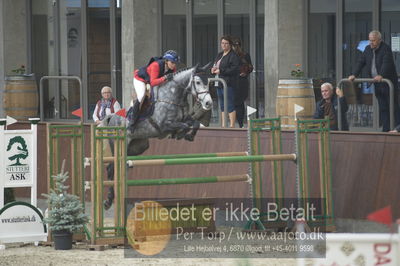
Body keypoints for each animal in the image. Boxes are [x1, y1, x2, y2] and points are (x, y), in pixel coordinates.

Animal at [101, 64, 212, 208]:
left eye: (208, 82)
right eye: (198, 82)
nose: (209, 103)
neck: (172, 96)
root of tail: (112, 117)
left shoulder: (185, 118)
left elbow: (195, 123)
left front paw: (188, 136)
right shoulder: (164, 126)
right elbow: (184, 126)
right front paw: (180, 134)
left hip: (137, 147)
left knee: (117, 167)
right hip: (119, 145)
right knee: (111, 168)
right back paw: (108, 200)